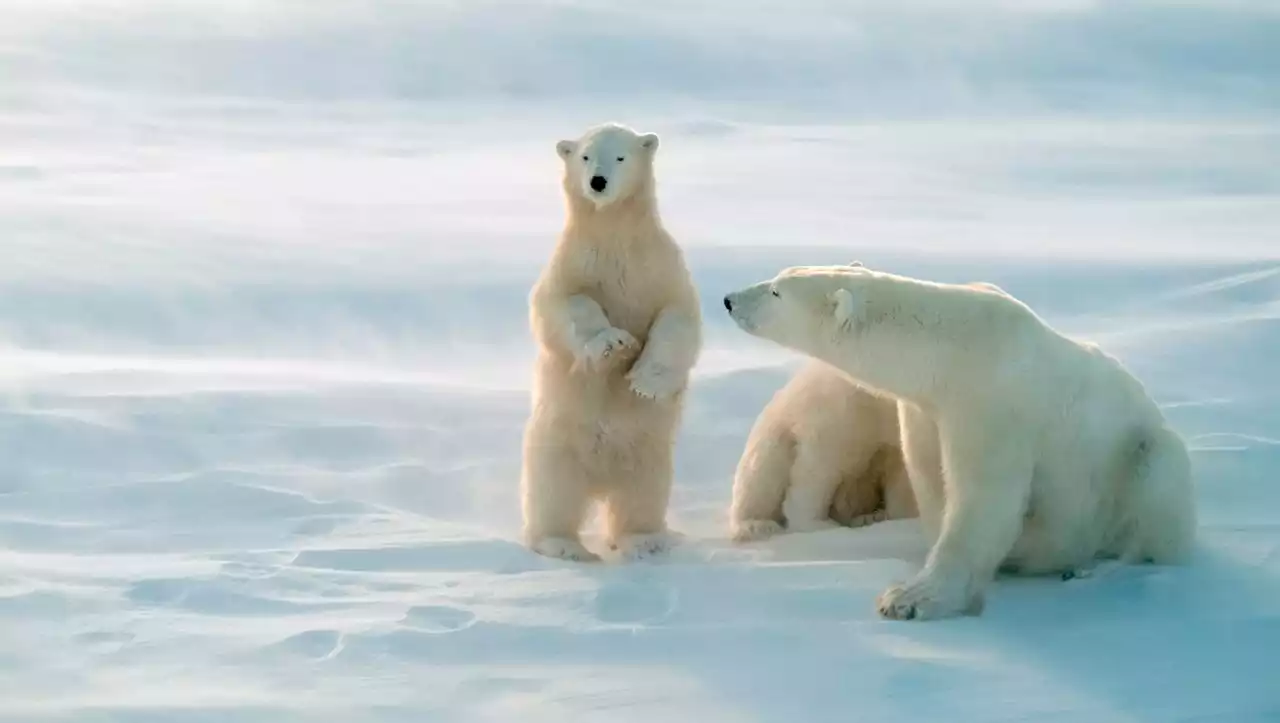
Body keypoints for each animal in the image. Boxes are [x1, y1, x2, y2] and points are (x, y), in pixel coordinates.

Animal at [517, 122, 701, 563]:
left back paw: (645, 540)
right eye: (585, 156)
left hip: (650, 453)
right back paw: (563, 545)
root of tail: (600, 481)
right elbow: (563, 305)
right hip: (554, 444)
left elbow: (678, 317)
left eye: (620, 156)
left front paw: (644, 380)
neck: (615, 234)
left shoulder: (659, 267)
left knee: (642, 494)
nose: (597, 182)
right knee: (553, 494)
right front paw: (613, 343)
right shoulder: (573, 263)